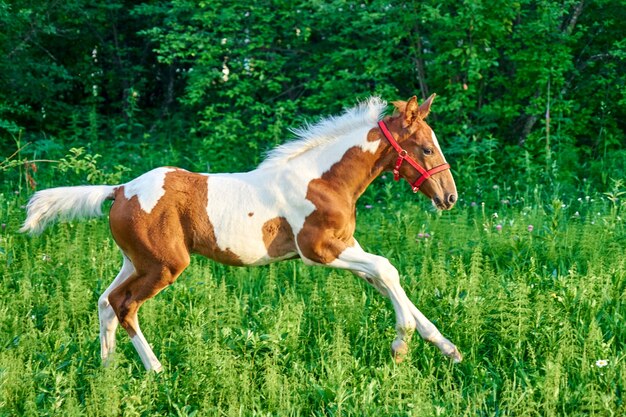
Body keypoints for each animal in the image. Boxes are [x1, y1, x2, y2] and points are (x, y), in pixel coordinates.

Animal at [20, 94, 458, 370]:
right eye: (426, 148)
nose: (450, 197)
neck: (323, 180)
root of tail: (121, 190)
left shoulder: (347, 246)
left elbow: (385, 281)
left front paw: (447, 347)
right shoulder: (319, 250)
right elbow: (387, 269)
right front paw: (400, 346)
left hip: (136, 261)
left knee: (105, 302)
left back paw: (107, 371)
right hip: (165, 265)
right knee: (125, 305)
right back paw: (156, 371)